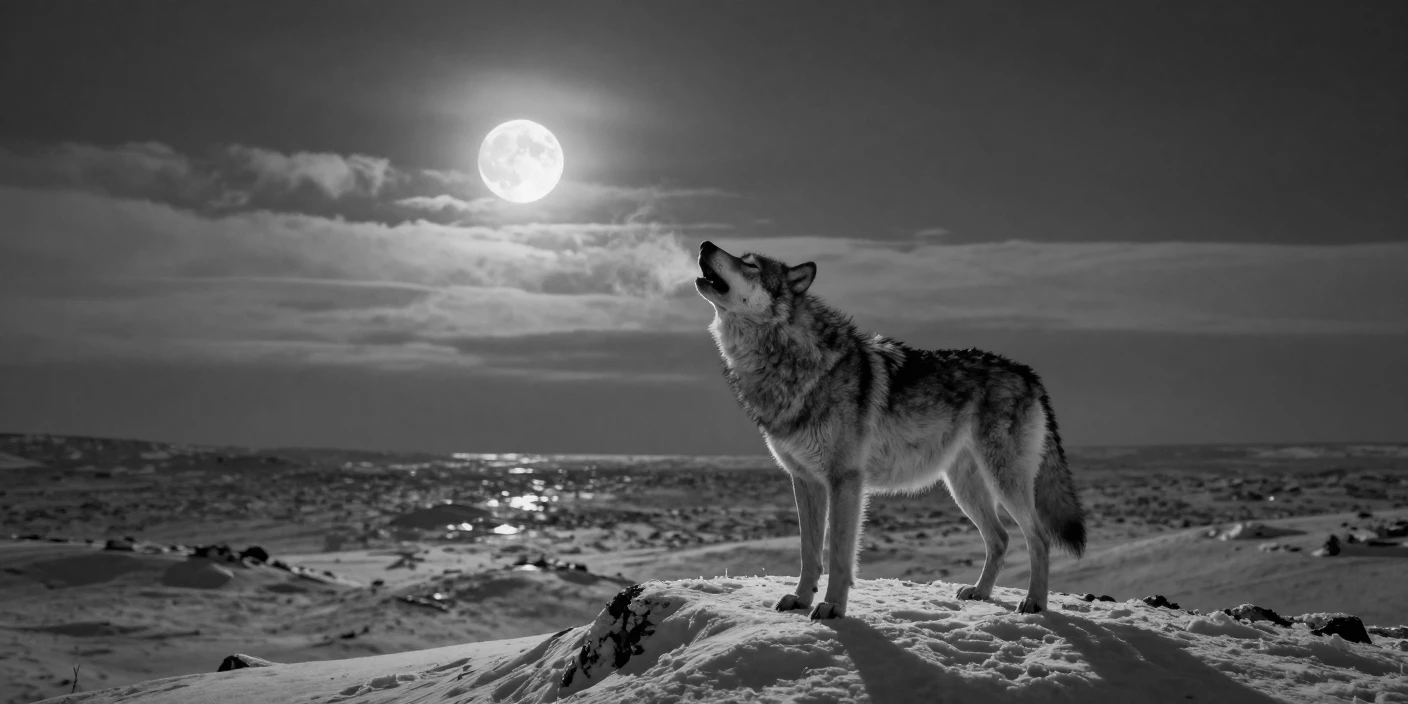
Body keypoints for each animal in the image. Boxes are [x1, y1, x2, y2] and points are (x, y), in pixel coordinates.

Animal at [694, 240, 1085, 619]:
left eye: (751, 265)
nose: (704, 244)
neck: (791, 361)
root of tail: (1027, 373)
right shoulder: (804, 481)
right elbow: (809, 553)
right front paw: (801, 600)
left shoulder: (845, 481)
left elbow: (839, 554)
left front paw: (832, 608)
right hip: (964, 488)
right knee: (1001, 538)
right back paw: (980, 593)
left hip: (1003, 481)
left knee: (1038, 538)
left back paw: (1034, 603)